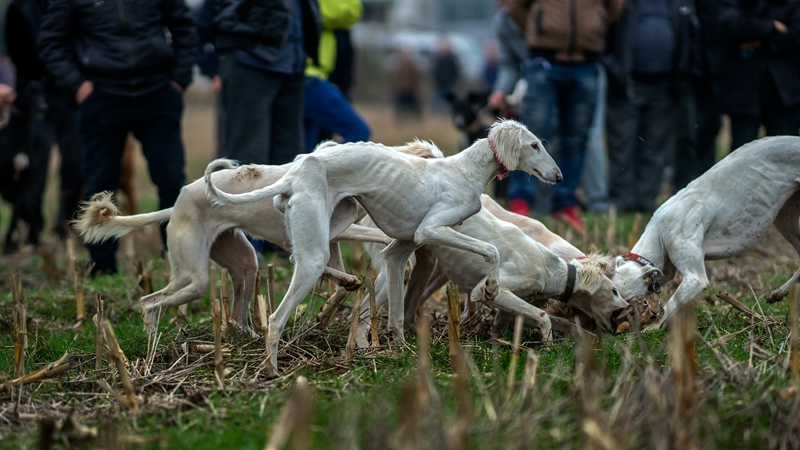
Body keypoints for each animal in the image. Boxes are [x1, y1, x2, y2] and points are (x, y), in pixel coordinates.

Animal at [73, 142, 444, 332]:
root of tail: (178, 200)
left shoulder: (331, 237)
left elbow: (338, 277)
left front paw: (334, 302)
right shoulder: (338, 230)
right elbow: (368, 242)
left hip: (243, 262)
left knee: (235, 313)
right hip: (193, 276)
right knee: (151, 302)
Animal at [206, 118, 564, 372]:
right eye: (535, 145)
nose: (559, 177)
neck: (465, 171)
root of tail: (293, 176)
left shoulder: (399, 250)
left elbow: (394, 314)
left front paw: (401, 352)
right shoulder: (430, 230)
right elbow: (492, 250)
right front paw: (491, 288)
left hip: (336, 221)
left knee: (310, 259)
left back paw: (346, 285)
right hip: (317, 246)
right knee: (276, 318)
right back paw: (272, 371)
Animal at [612, 135, 800, 328]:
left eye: (630, 300)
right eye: (614, 292)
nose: (613, 319)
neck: (659, 231)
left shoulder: (695, 279)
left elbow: (670, 306)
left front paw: (652, 327)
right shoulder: (665, 271)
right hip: (786, 219)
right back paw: (780, 292)